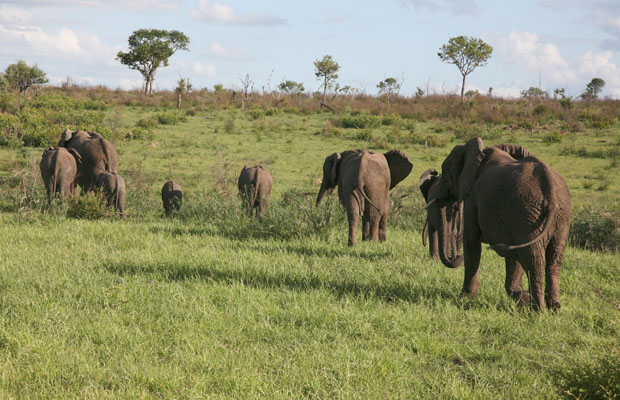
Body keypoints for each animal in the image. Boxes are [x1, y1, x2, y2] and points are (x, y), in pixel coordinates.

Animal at [428, 139, 568, 310]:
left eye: (445, 170)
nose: (455, 256)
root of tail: (551, 190)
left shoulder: (473, 199)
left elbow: (471, 243)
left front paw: (466, 297)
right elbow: (513, 257)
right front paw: (521, 298)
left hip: (527, 215)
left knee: (533, 259)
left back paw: (538, 310)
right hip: (558, 218)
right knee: (554, 259)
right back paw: (554, 307)